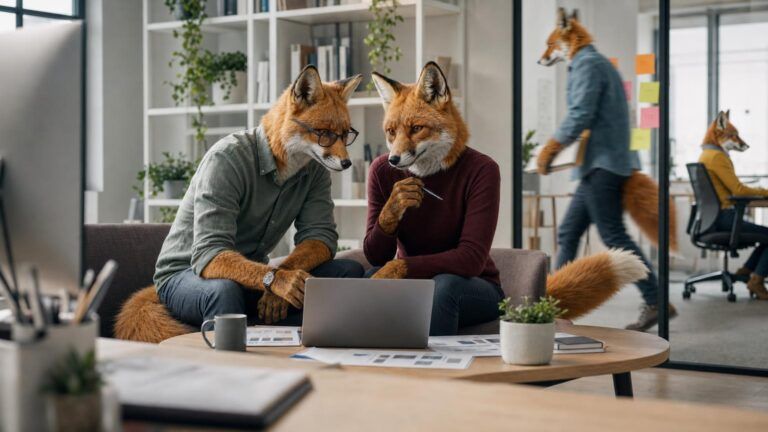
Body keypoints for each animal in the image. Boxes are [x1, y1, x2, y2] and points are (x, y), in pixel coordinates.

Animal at [115, 66, 363, 343]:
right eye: (325, 134)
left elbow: (314, 237)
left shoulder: (318, 184)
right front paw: (283, 284)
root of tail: (157, 289)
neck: (279, 165)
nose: (347, 164)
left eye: (346, 134)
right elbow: (219, 247)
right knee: (222, 288)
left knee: (347, 266)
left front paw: (275, 293)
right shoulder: (221, 164)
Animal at [369, 62, 650, 320]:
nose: (393, 160)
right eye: (391, 132)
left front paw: (380, 276)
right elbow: (375, 248)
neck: (431, 174)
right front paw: (396, 202)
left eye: (416, 128)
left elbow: (396, 262)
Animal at [538, 7, 677, 251]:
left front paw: (545, 157)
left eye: (550, 44)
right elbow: (567, 234)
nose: (538, 61)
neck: (582, 51)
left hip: (600, 192)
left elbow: (575, 119)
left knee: (616, 236)